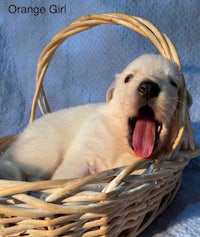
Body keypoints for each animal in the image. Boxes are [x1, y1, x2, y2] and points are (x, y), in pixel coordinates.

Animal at [0, 54, 184, 181]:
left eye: (173, 83)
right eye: (128, 78)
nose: (148, 87)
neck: (122, 144)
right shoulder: (84, 152)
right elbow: (68, 175)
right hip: (45, 152)